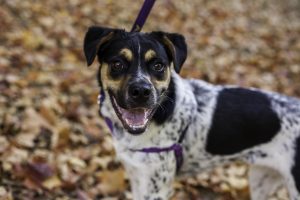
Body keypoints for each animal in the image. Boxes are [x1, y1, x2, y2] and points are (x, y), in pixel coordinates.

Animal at [84, 26, 300, 200]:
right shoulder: (138, 176)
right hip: (261, 179)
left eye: (158, 65)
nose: (142, 92)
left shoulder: (156, 188)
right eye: (117, 64)